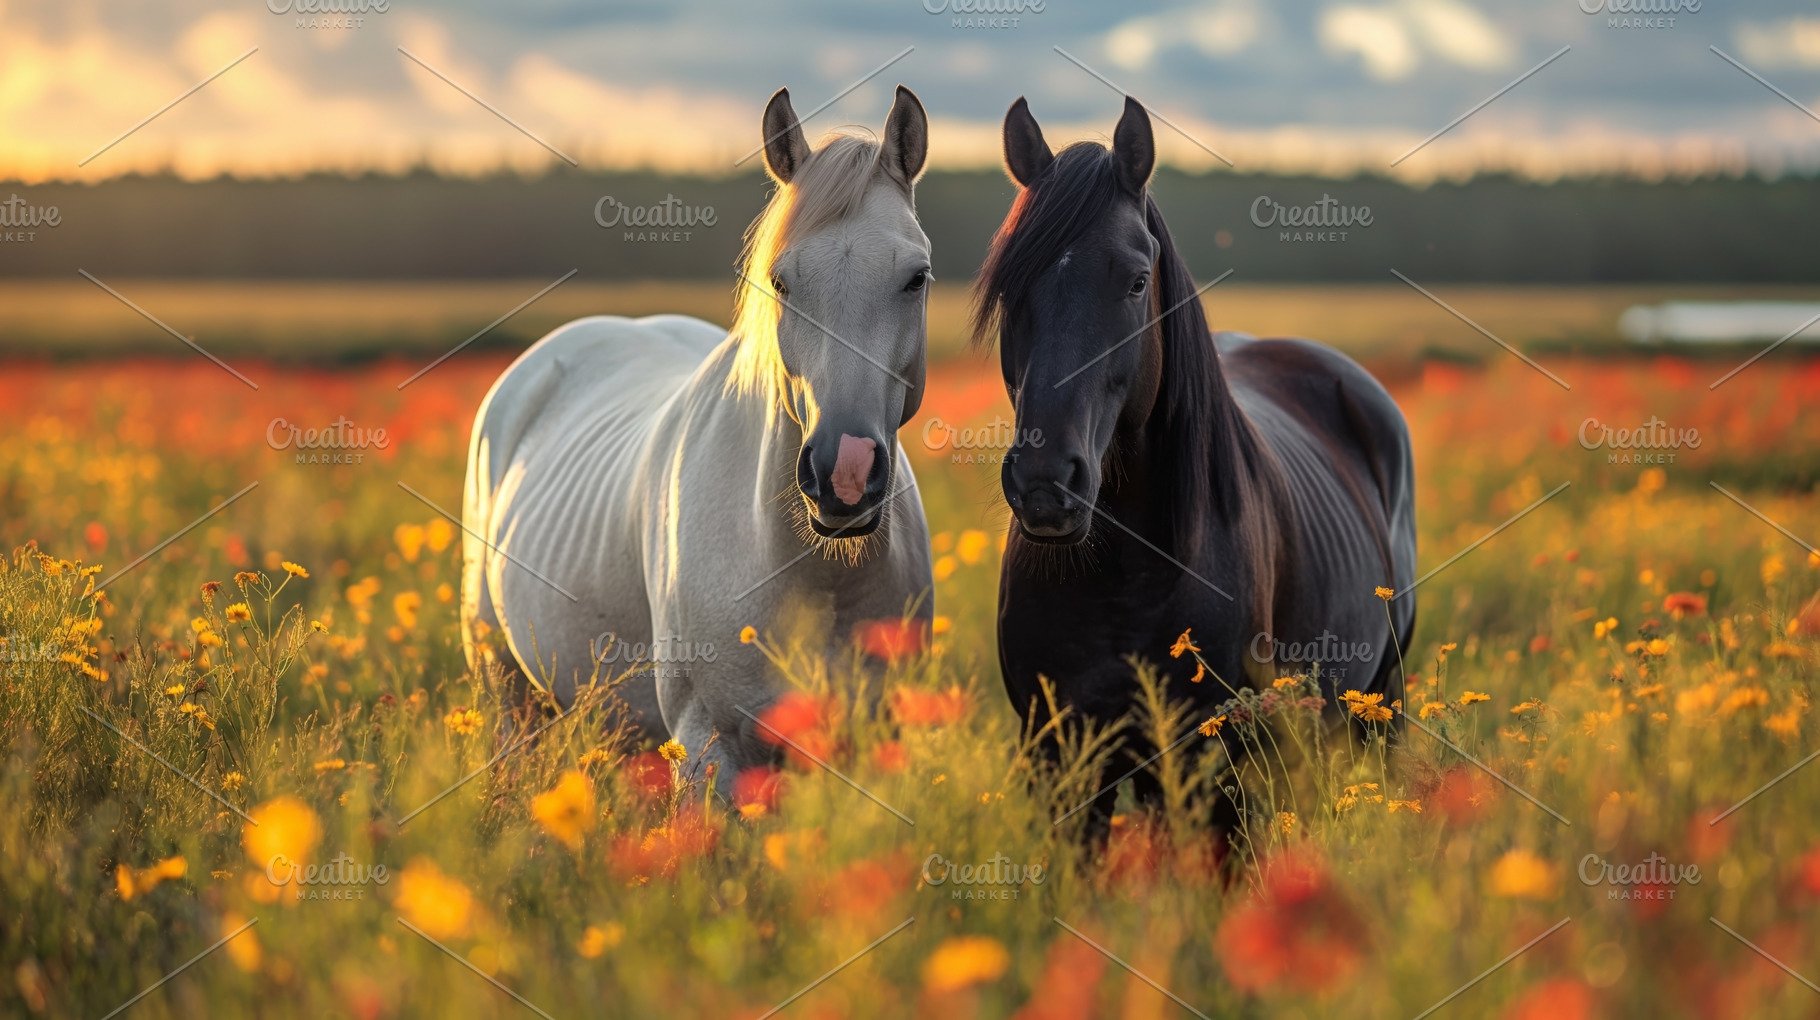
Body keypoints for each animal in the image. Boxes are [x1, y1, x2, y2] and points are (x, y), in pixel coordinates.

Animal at [460, 85, 936, 788]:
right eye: (780, 280)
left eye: (916, 277)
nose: (844, 474)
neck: (815, 575)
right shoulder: (709, 746)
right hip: (504, 689)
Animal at [973, 96, 1417, 840]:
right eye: (1010, 288)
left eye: (1135, 281)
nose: (1044, 485)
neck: (1125, 574)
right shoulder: (1063, 766)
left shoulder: (1224, 775)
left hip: (1380, 712)